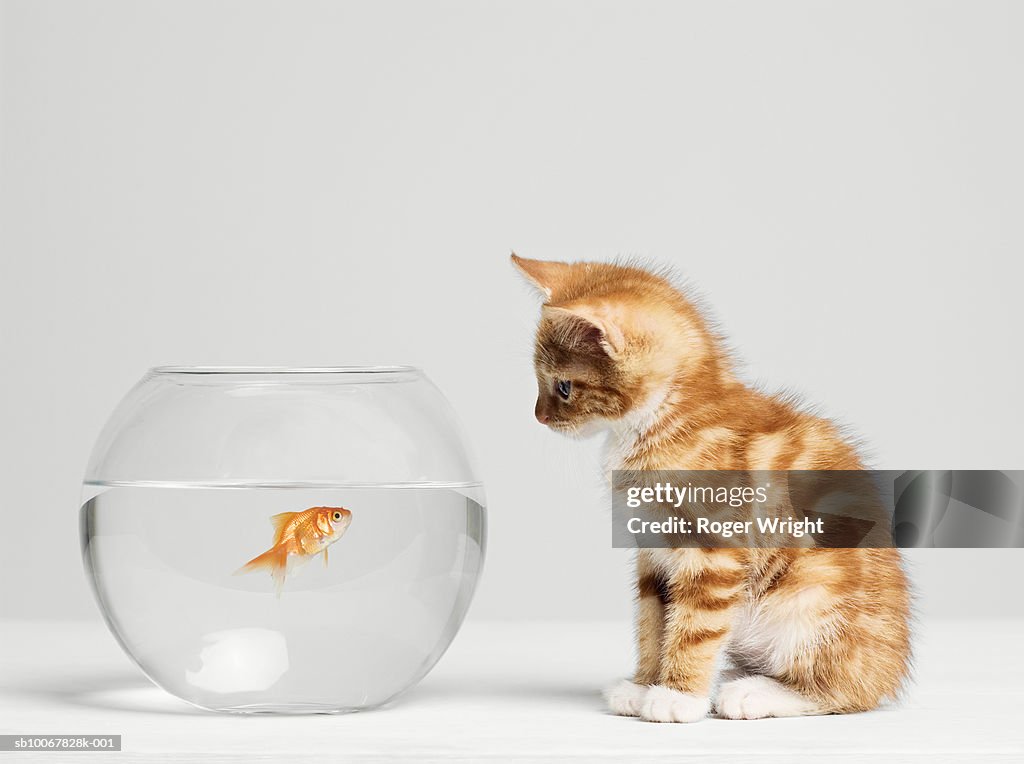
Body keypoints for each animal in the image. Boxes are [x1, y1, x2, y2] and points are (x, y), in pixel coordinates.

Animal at [512, 253, 913, 720]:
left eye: (563, 387)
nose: (539, 416)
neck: (666, 419)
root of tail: (890, 672)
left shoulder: (714, 550)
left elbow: (695, 627)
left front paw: (678, 696)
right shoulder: (650, 549)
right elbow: (653, 620)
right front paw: (643, 685)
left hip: (814, 595)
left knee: (842, 690)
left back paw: (755, 692)